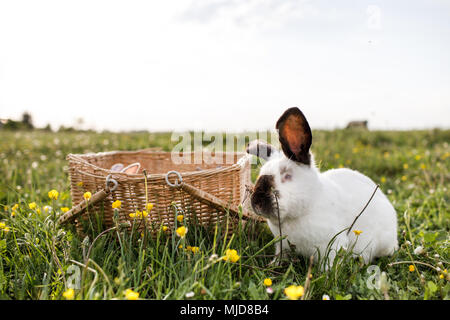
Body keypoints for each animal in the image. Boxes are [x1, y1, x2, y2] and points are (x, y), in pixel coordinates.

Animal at [248, 107, 400, 268]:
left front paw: (325, 272)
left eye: (287, 176)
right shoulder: (281, 244)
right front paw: (274, 264)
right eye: (260, 174)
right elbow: (280, 254)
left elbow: (329, 263)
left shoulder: (332, 244)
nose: (257, 202)